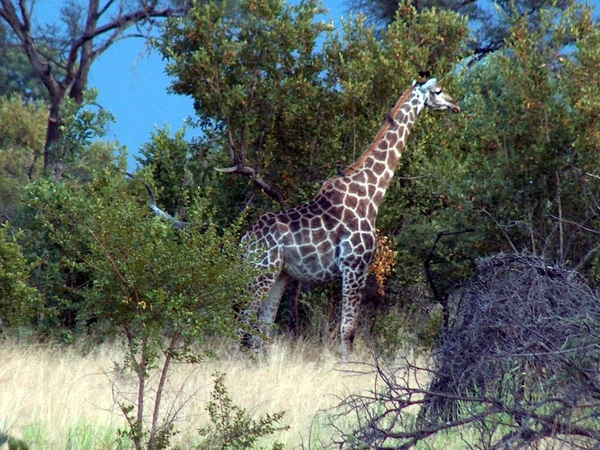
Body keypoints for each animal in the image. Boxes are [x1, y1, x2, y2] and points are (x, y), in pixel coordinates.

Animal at [241, 75, 462, 360]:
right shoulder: (355, 265)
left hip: (278, 274)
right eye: (438, 91)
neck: (371, 193)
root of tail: (244, 241)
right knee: (242, 319)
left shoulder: (351, 268)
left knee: (263, 326)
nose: (455, 105)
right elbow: (348, 329)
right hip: (260, 271)